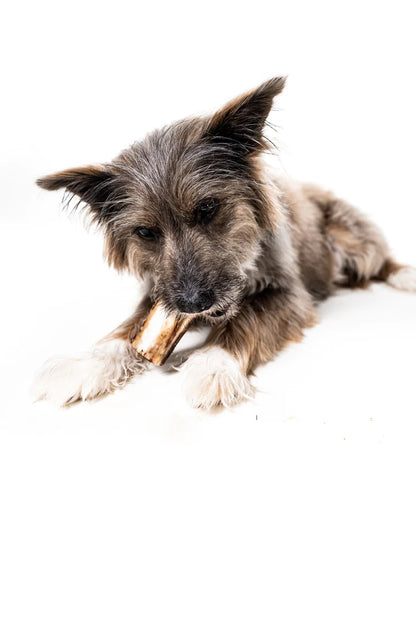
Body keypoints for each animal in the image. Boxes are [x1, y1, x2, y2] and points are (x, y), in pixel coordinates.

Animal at [34, 77, 416, 410]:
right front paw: (87, 362)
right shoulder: (158, 296)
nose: (193, 304)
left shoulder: (288, 294)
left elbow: (245, 319)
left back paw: (404, 275)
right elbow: (127, 329)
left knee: (381, 261)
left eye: (207, 208)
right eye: (145, 232)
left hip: (355, 241)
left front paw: (213, 364)